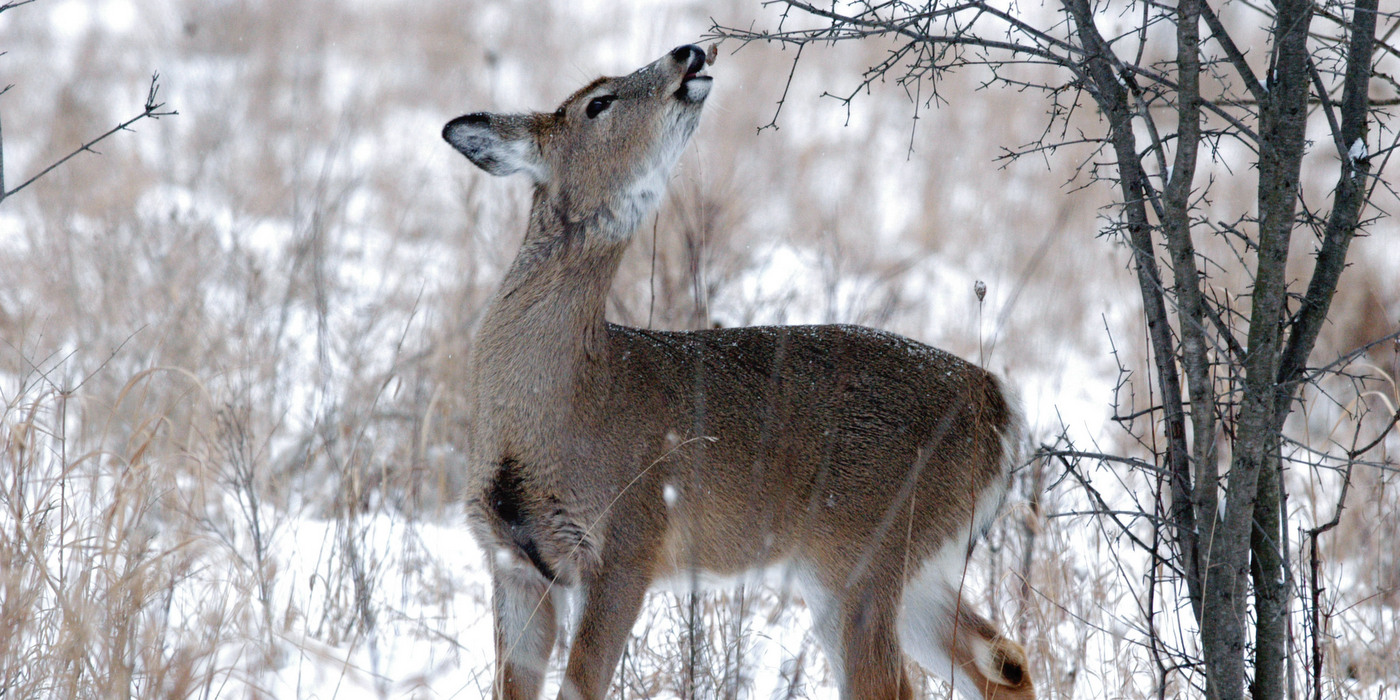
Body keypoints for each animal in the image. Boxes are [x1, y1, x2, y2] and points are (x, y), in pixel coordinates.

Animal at [442, 45, 1036, 700]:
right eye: (597, 103)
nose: (689, 52)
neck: (561, 405)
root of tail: (1000, 404)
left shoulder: (631, 537)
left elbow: (582, 685)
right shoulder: (511, 561)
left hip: (862, 553)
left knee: (900, 682)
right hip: (919, 563)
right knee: (1004, 659)